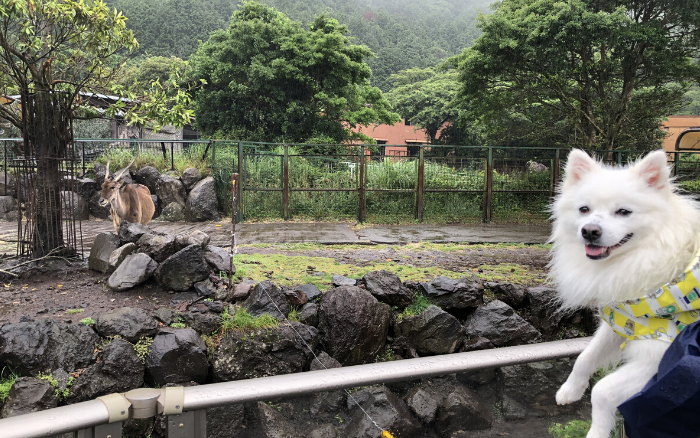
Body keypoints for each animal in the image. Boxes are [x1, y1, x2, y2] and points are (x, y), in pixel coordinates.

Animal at [548, 149, 700, 436]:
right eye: (584, 209)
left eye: (623, 212)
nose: (590, 231)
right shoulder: (621, 321)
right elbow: (585, 357)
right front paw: (570, 390)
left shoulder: (659, 355)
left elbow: (602, 391)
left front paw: (597, 431)